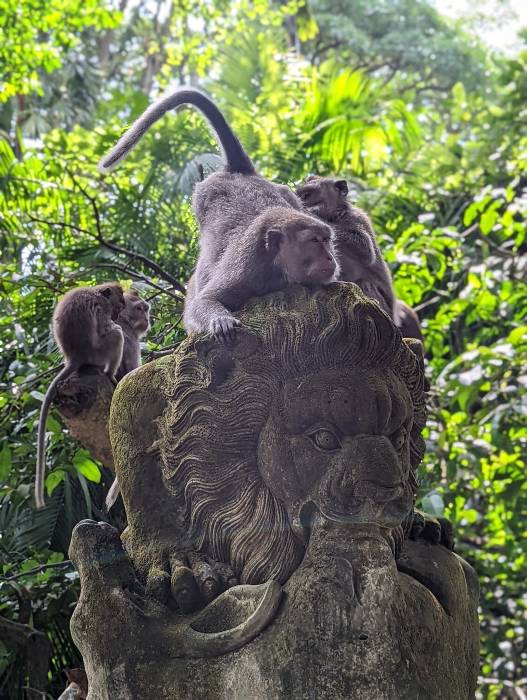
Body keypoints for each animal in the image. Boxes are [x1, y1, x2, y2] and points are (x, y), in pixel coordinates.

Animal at [35, 283, 125, 509]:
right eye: (119, 306)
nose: (117, 316)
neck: (98, 291)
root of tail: (74, 358)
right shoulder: (101, 308)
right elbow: (106, 328)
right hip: (98, 352)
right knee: (116, 334)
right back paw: (110, 375)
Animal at [296, 175, 423, 341]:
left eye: (307, 195)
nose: (299, 200)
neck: (336, 215)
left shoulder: (355, 219)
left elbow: (366, 250)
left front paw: (313, 216)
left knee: (365, 283)